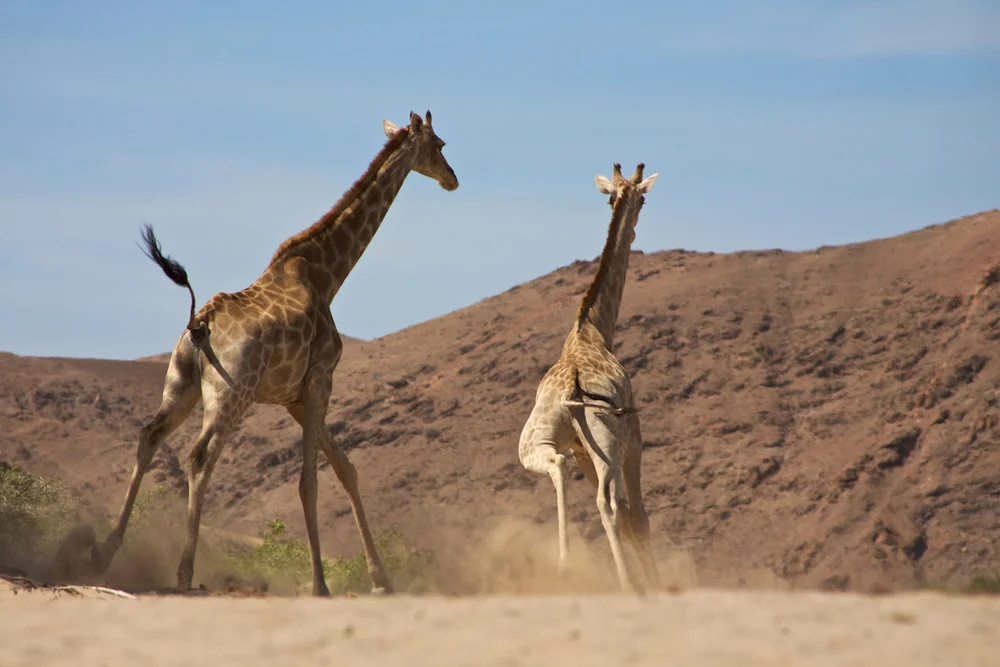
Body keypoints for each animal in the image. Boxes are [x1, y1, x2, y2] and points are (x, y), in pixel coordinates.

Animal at [84, 110, 459, 596]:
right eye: (440, 145)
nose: (453, 179)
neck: (327, 274)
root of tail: (198, 326)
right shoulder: (320, 379)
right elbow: (310, 481)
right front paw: (320, 584)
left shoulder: (291, 396)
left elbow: (345, 468)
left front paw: (381, 580)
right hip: (230, 393)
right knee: (199, 457)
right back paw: (184, 573)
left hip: (182, 385)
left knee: (149, 435)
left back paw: (105, 551)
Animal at [517, 162, 660, 594]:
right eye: (644, 200)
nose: (634, 226)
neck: (594, 330)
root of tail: (572, 389)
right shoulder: (634, 437)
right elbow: (637, 515)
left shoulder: (583, 451)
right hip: (608, 439)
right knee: (607, 503)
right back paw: (628, 586)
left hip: (536, 442)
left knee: (557, 465)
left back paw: (564, 564)